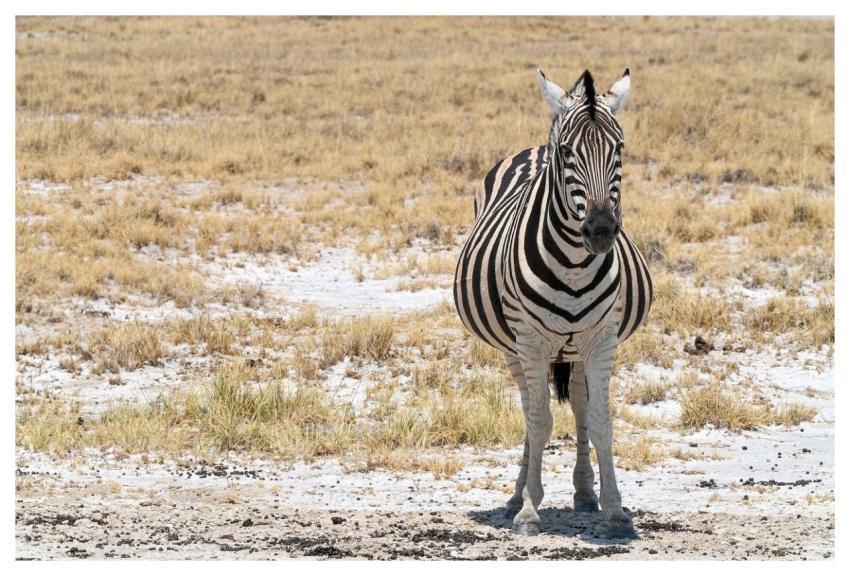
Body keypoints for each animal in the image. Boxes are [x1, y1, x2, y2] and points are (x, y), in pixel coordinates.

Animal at [453, 68, 652, 539]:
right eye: (567, 152)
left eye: (619, 148)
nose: (600, 230)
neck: (575, 266)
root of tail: (532, 150)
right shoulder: (528, 339)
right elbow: (540, 420)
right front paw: (528, 509)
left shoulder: (603, 340)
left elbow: (600, 421)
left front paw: (615, 510)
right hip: (514, 346)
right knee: (530, 407)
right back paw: (517, 496)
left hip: (575, 349)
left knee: (576, 403)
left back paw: (583, 492)